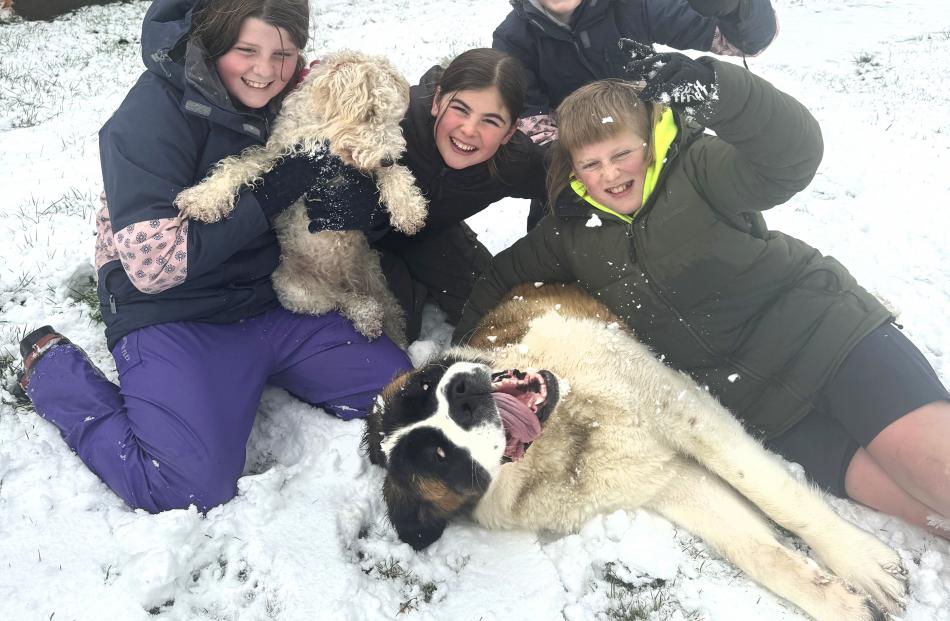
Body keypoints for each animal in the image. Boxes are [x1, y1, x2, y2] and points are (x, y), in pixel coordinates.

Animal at [175, 50, 428, 346]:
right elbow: (241, 164)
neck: (323, 139)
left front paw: (409, 209)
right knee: (340, 300)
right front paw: (203, 198)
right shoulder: (280, 154)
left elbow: (397, 175)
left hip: (374, 273)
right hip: (293, 289)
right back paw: (366, 314)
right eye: (369, 113)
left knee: (387, 312)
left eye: (395, 119)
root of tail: (342, 278)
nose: (387, 158)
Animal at [368, 282, 912, 620]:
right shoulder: (670, 483)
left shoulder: (681, 408)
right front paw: (838, 602)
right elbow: (758, 551)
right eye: (441, 459)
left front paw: (863, 563)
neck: (567, 442)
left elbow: (778, 495)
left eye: (423, 386)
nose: (462, 393)